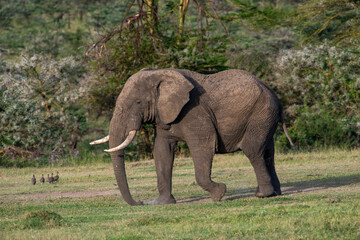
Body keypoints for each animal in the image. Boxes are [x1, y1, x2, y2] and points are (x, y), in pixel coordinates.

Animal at [89, 68, 292, 206]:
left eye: (138, 102)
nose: (140, 202)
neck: (159, 74)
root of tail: (274, 95)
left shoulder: (195, 112)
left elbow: (202, 146)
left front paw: (219, 194)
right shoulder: (164, 116)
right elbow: (162, 151)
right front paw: (162, 203)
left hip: (260, 114)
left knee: (253, 151)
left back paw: (262, 195)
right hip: (265, 118)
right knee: (268, 153)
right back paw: (275, 193)